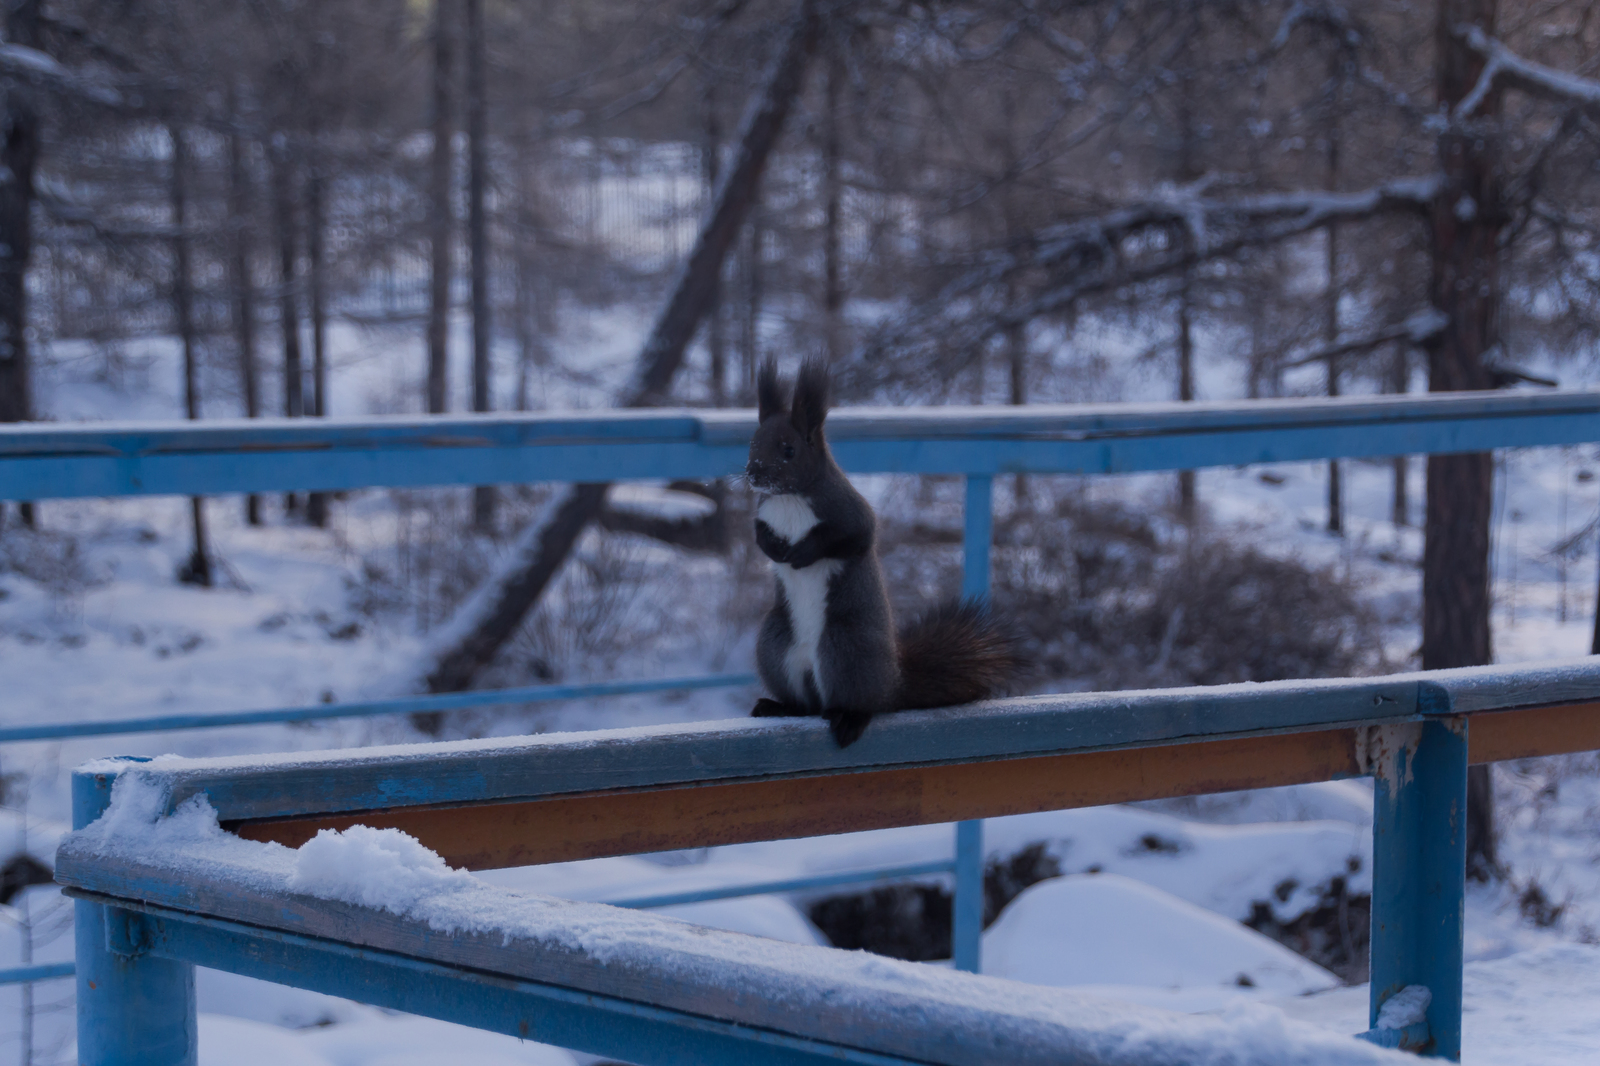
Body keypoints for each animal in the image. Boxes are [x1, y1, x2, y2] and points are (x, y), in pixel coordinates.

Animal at [739, 356, 1017, 745]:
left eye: (789, 449)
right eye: (752, 443)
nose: (753, 474)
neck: (789, 499)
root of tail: (892, 687)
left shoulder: (849, 512)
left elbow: (851, 537)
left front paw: (801, 554)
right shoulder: (763, 514)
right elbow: (759, 535)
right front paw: (775, 551)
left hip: (846, 648)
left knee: (858, 704)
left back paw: (849, 719)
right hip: (775, 645)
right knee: (806, 705)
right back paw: (778, 706)